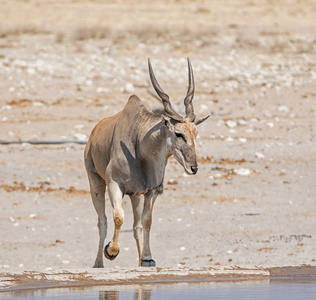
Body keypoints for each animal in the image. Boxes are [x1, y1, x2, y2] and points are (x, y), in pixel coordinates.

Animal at [84, 58, 210, 268]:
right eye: (178, 133)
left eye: (195, 133)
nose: (193, 167)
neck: (138, 142)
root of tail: (94, 133)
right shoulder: (114, 184)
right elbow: (118, 217)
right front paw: (112, 250)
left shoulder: (151, 191)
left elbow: (147, 221)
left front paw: (148, 258)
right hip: (95, 181)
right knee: (102, 220)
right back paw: (99, 263)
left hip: (135, 196)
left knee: (136, 226)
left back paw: (140, 260)